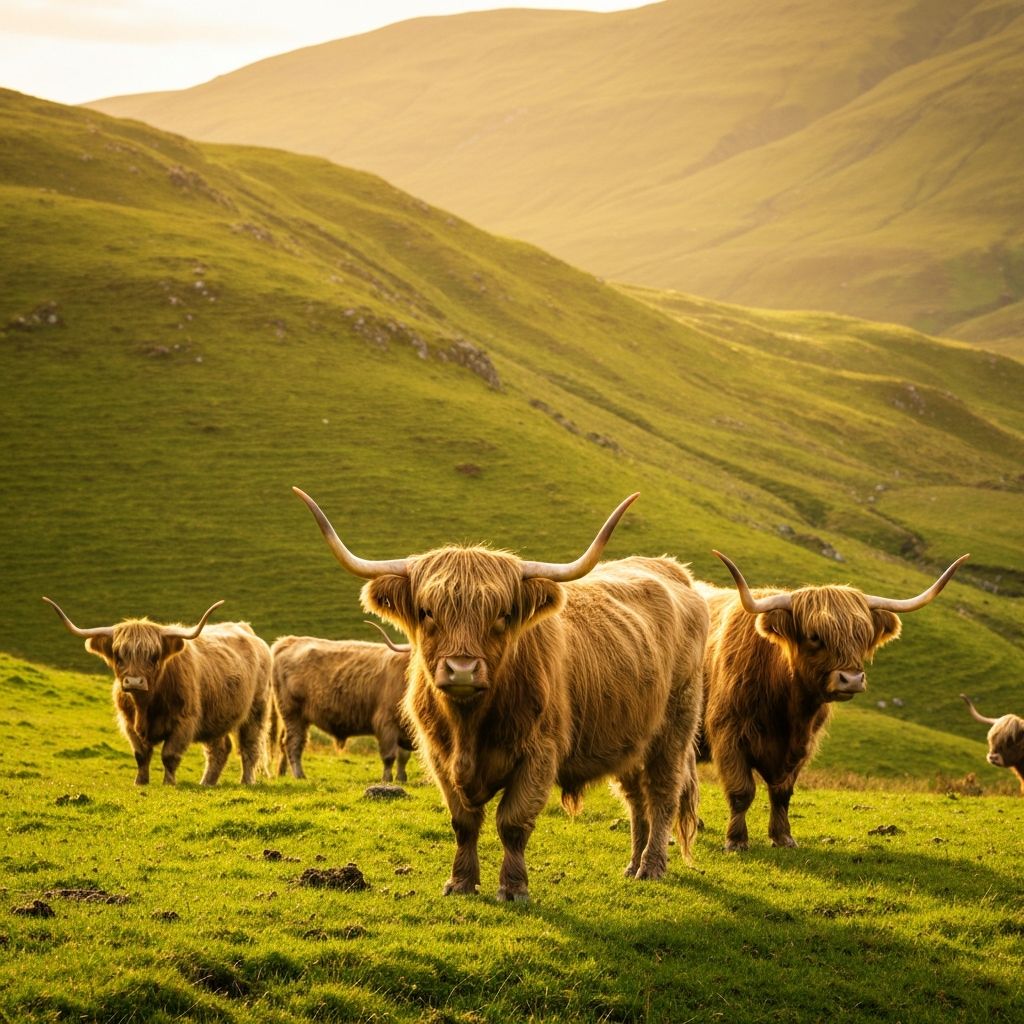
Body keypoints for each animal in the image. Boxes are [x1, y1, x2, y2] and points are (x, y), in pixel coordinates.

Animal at [43, 597, 272, 786]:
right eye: (118, 655)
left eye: (154, 656)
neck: (145, 706)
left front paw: (168, 783)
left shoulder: (184, 721)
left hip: (256, 711)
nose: (134, 681)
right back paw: (206, 783)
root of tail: (246, 629)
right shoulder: (128, 722)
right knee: (220, 749)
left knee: (250, 747)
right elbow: (141, 754)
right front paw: (140, 782)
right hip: (216, 716)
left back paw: (246, 781)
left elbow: (169, 755)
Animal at [270, 632, 413, 782]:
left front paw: (401, 778)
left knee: (284, 743)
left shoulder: (406, 729)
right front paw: (387, 779)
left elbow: (403, 756)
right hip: (293, 714)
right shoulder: (386, 724)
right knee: (293, 743)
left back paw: (282, 772)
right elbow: (389, 756)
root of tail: (289, 640)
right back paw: (299, 775)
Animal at [292, 487, 708, 901]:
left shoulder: (539, 754)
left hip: (674, 728)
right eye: (427, 611)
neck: (468, 726)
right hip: (630, 737)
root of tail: (674, 571)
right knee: (636, 799)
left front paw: (513, 887)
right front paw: (460, 882)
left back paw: (652, 868)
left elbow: (513, 822)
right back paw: (633, 865)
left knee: (663, 794)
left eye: (503, 614)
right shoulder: (438, 755)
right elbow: (463, 822)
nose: (461, 669)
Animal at [697, 552, 969, 850]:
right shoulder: (729, 734)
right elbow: (742, 791)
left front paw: (783, 837)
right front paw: (736, 840)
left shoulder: (803, 745)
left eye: (863, 636)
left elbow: (782, 793)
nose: (851, 679)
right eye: (815, 637)